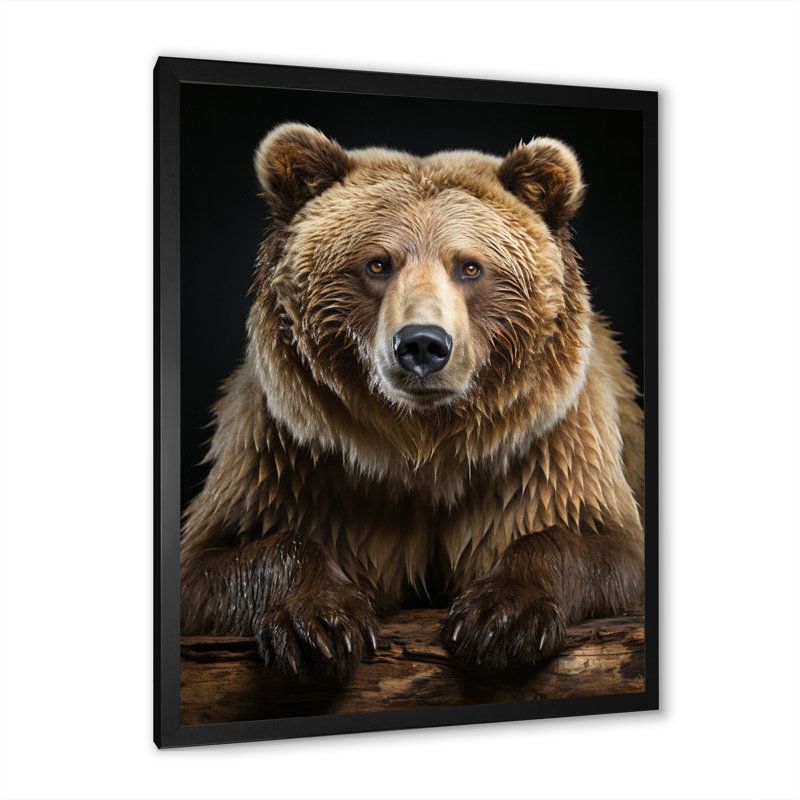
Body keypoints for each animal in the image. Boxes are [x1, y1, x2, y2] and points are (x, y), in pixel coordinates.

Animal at [180, 122, 645, 682]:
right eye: (377, 263)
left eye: (470, 267)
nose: (423, 344)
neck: (424, 444)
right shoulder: (285, 459)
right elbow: (220, 558)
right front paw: (319, 623)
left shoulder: (549, 451)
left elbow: (603, 543)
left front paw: (501, 616)